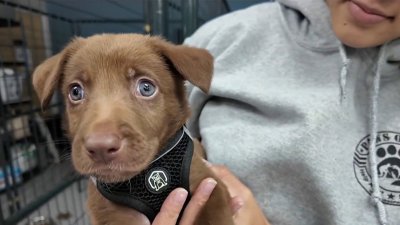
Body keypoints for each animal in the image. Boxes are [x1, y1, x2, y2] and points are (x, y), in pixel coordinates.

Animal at [32, 33, 236, 225]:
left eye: (146, 88)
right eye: (75, 92)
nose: (100, 147)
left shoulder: (209, 185)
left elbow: (214, 217)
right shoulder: (110, 212)